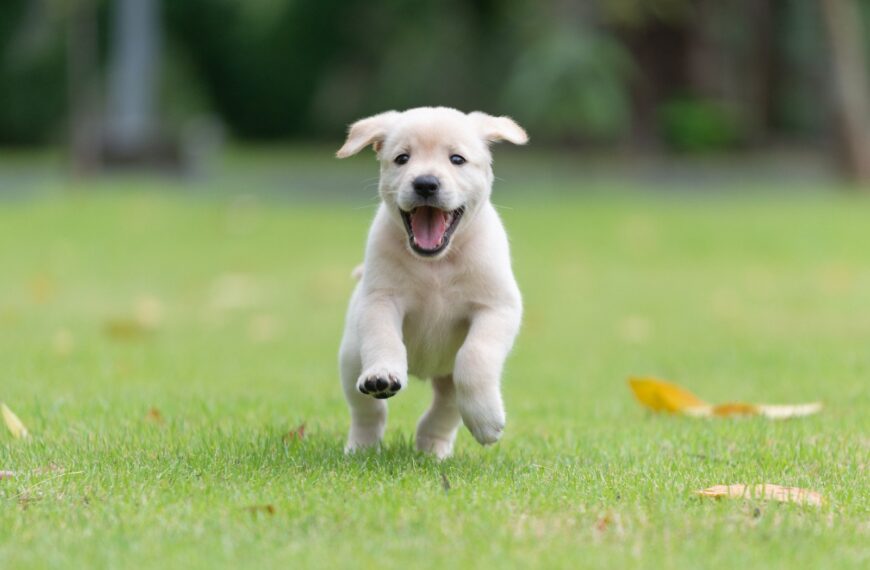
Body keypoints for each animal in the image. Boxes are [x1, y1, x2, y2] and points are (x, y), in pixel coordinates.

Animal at [336, 107, 528, 458]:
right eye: (402, 158)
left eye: (457, 159)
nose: (426, 183)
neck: (435, 265)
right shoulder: (380, 300)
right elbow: (384, 339)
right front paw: (383, 373)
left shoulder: (497, 307)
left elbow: (475, 355)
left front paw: (487, 421)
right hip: (351, 358)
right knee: (367, 410)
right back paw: (363, 446)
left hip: (448, 379)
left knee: (446, 408)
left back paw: (433, 447)